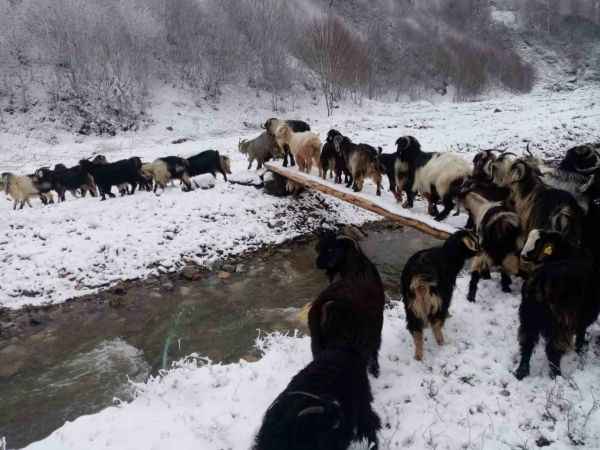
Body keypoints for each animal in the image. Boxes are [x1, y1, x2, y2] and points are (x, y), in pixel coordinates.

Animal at [310, 227, 384, 378]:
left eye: (331, 249)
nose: (318, 263)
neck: (358, 269)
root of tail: (325, 304)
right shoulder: (375, 324)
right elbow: (375, 348)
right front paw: (375, 370)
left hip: (316, 341)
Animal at [400, 230, 480, 360]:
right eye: (475, 242)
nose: (482, 250)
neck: (449, 254)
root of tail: (419, 273)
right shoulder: (446, 293)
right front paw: (448, 315)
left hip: (411, 304)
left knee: (416, 330)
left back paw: (418, 355)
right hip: (437, 299)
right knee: (436, 324)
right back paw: (441, 342)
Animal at [512, 229, 600, 380]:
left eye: (538, 242)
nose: (522, 255)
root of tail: (538, 283)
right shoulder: (582, 312)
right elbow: (581, 330)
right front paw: (580, 348)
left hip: (528, 318)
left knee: (526, 343)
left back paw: (521, 372)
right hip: (559, 322)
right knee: (553, 350)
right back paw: (557, 375)